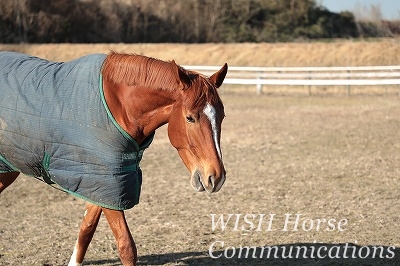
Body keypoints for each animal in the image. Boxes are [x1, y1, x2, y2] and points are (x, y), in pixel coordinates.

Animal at [0, 51, 227, 264]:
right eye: (190, 118)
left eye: (222, 116)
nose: (216, 177)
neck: (118, 106)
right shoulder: (105, 180)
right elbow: (126, 246)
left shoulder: (101, 183)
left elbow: (86, 229)